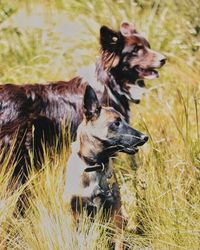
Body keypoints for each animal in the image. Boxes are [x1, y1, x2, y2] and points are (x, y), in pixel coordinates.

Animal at [63, 85, 148, 249]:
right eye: (116, 123)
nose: (145, 137)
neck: (95, 165)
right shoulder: (75, 213)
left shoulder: (115, 211)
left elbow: (118, 241)